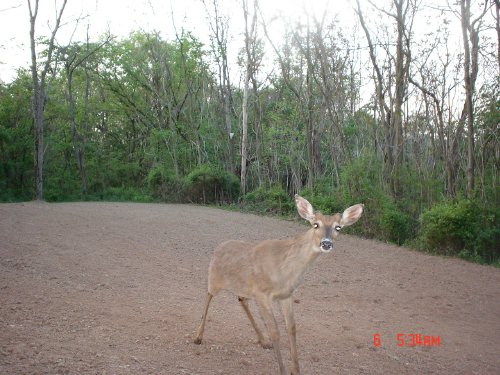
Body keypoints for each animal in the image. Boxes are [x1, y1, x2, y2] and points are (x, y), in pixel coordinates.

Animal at [192, 195, 364, 374]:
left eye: (338, 227)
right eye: (315, 224)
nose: (326, 243)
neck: (285, 270)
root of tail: (218, 247)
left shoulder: (286, 295)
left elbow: (292, 329)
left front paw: (295, 369)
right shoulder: (263, 294)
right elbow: (275, 332)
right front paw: (282, 369)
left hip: (244, 286)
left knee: (241, 299)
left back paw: (263, 341)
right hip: (214, 278)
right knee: (208, 296)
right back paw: (198, 336)